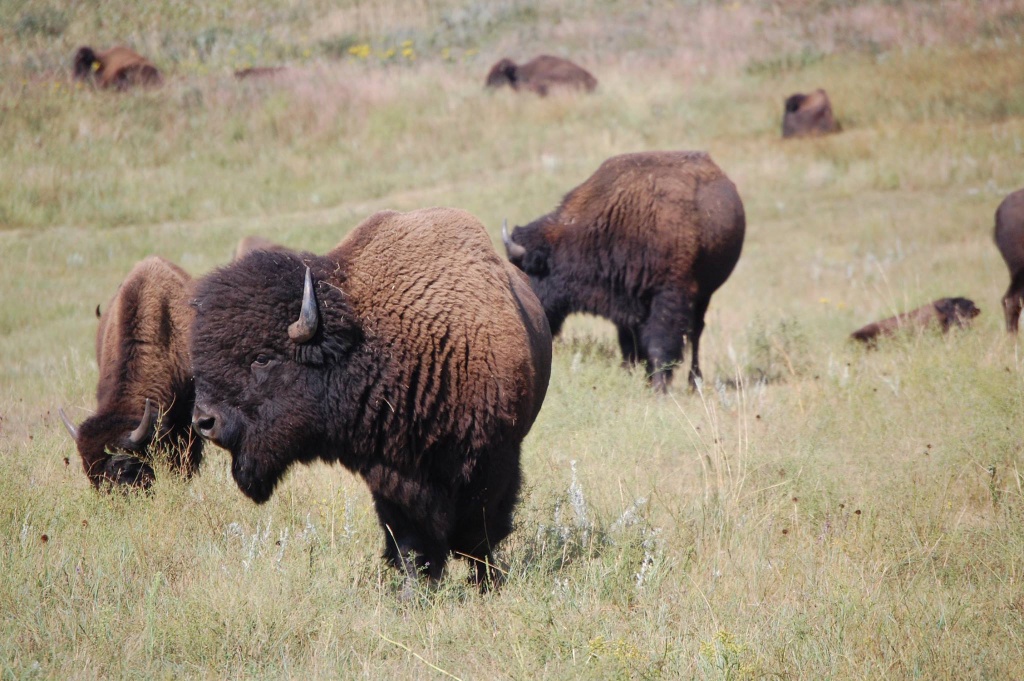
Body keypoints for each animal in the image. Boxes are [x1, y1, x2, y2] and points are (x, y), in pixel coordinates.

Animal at [190, 207, 552, 589]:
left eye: (261, 358)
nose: (204, 421)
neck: (371, 339)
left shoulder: (494, 459)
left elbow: (479, 532)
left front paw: (486, 584)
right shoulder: (391, 473)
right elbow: (410, 539)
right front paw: (415, 590)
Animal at [504, 151, 745, 391]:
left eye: (528, 270)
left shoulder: (669, 297)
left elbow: (660, 342)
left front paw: (659, 387)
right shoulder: (623, 302)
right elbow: (629, 345)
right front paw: (633, 376)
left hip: (704, 294)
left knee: (695, 334)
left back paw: (694, 381)